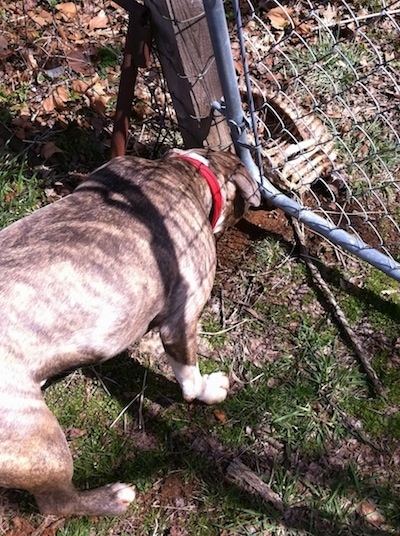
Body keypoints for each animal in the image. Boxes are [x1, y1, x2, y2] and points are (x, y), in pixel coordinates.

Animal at [0, 149, 260, 516]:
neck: (185, 172)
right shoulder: (181, 321)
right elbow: (190, 379)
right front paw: (209, 390)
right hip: (40, 437)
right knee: (57, 504)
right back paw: (113, 497)